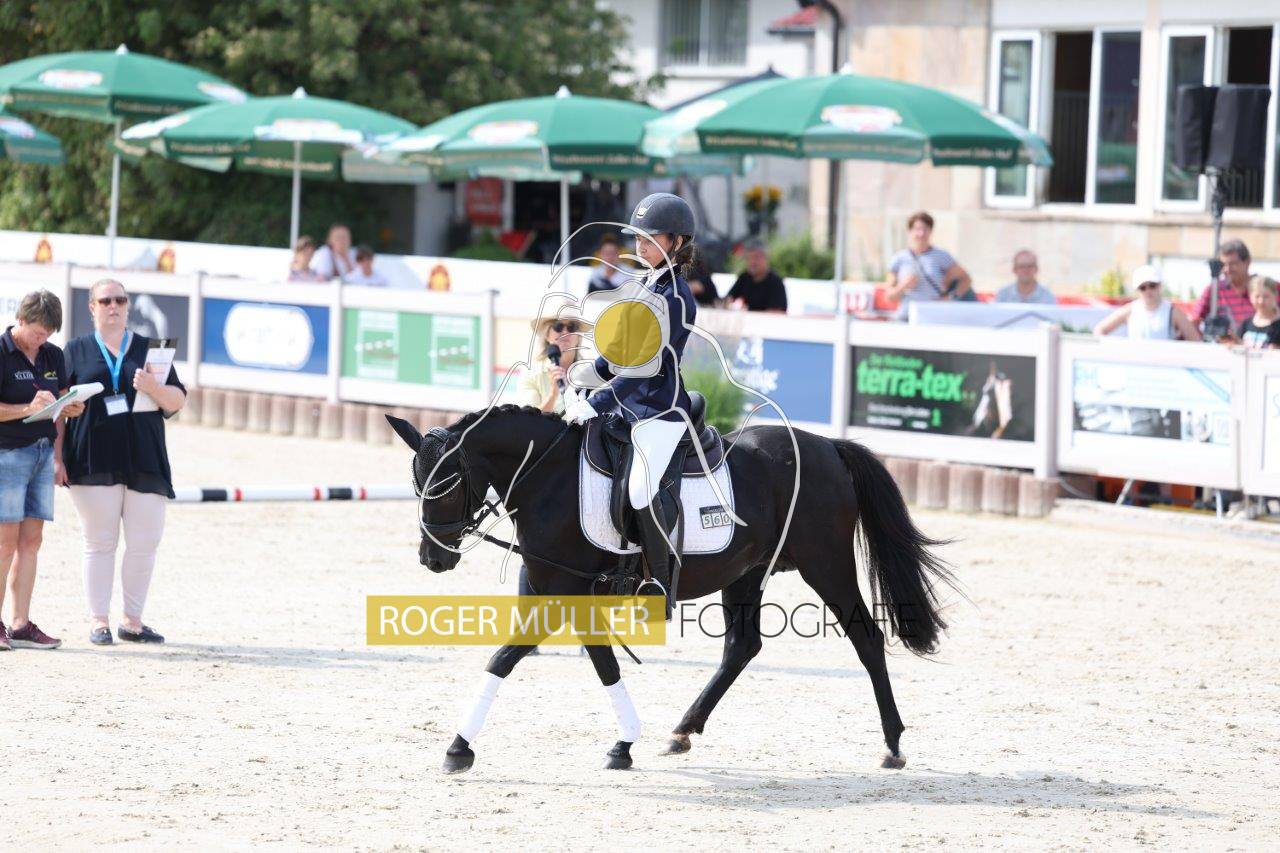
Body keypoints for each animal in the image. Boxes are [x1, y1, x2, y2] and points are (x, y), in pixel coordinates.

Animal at [386, 404, 954, 774]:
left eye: (444, 485)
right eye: (416, 485)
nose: (433, 558)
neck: (549, 479)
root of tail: (828, 448)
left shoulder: (563, 598)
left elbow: (505, 658)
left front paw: (458, 748)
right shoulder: (566, 598)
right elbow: (602, 664)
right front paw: (623, 745)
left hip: (826, 564)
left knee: (866, 640)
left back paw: (893, 745)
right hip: (747, 572)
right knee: (741, 647)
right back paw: (681, 732)